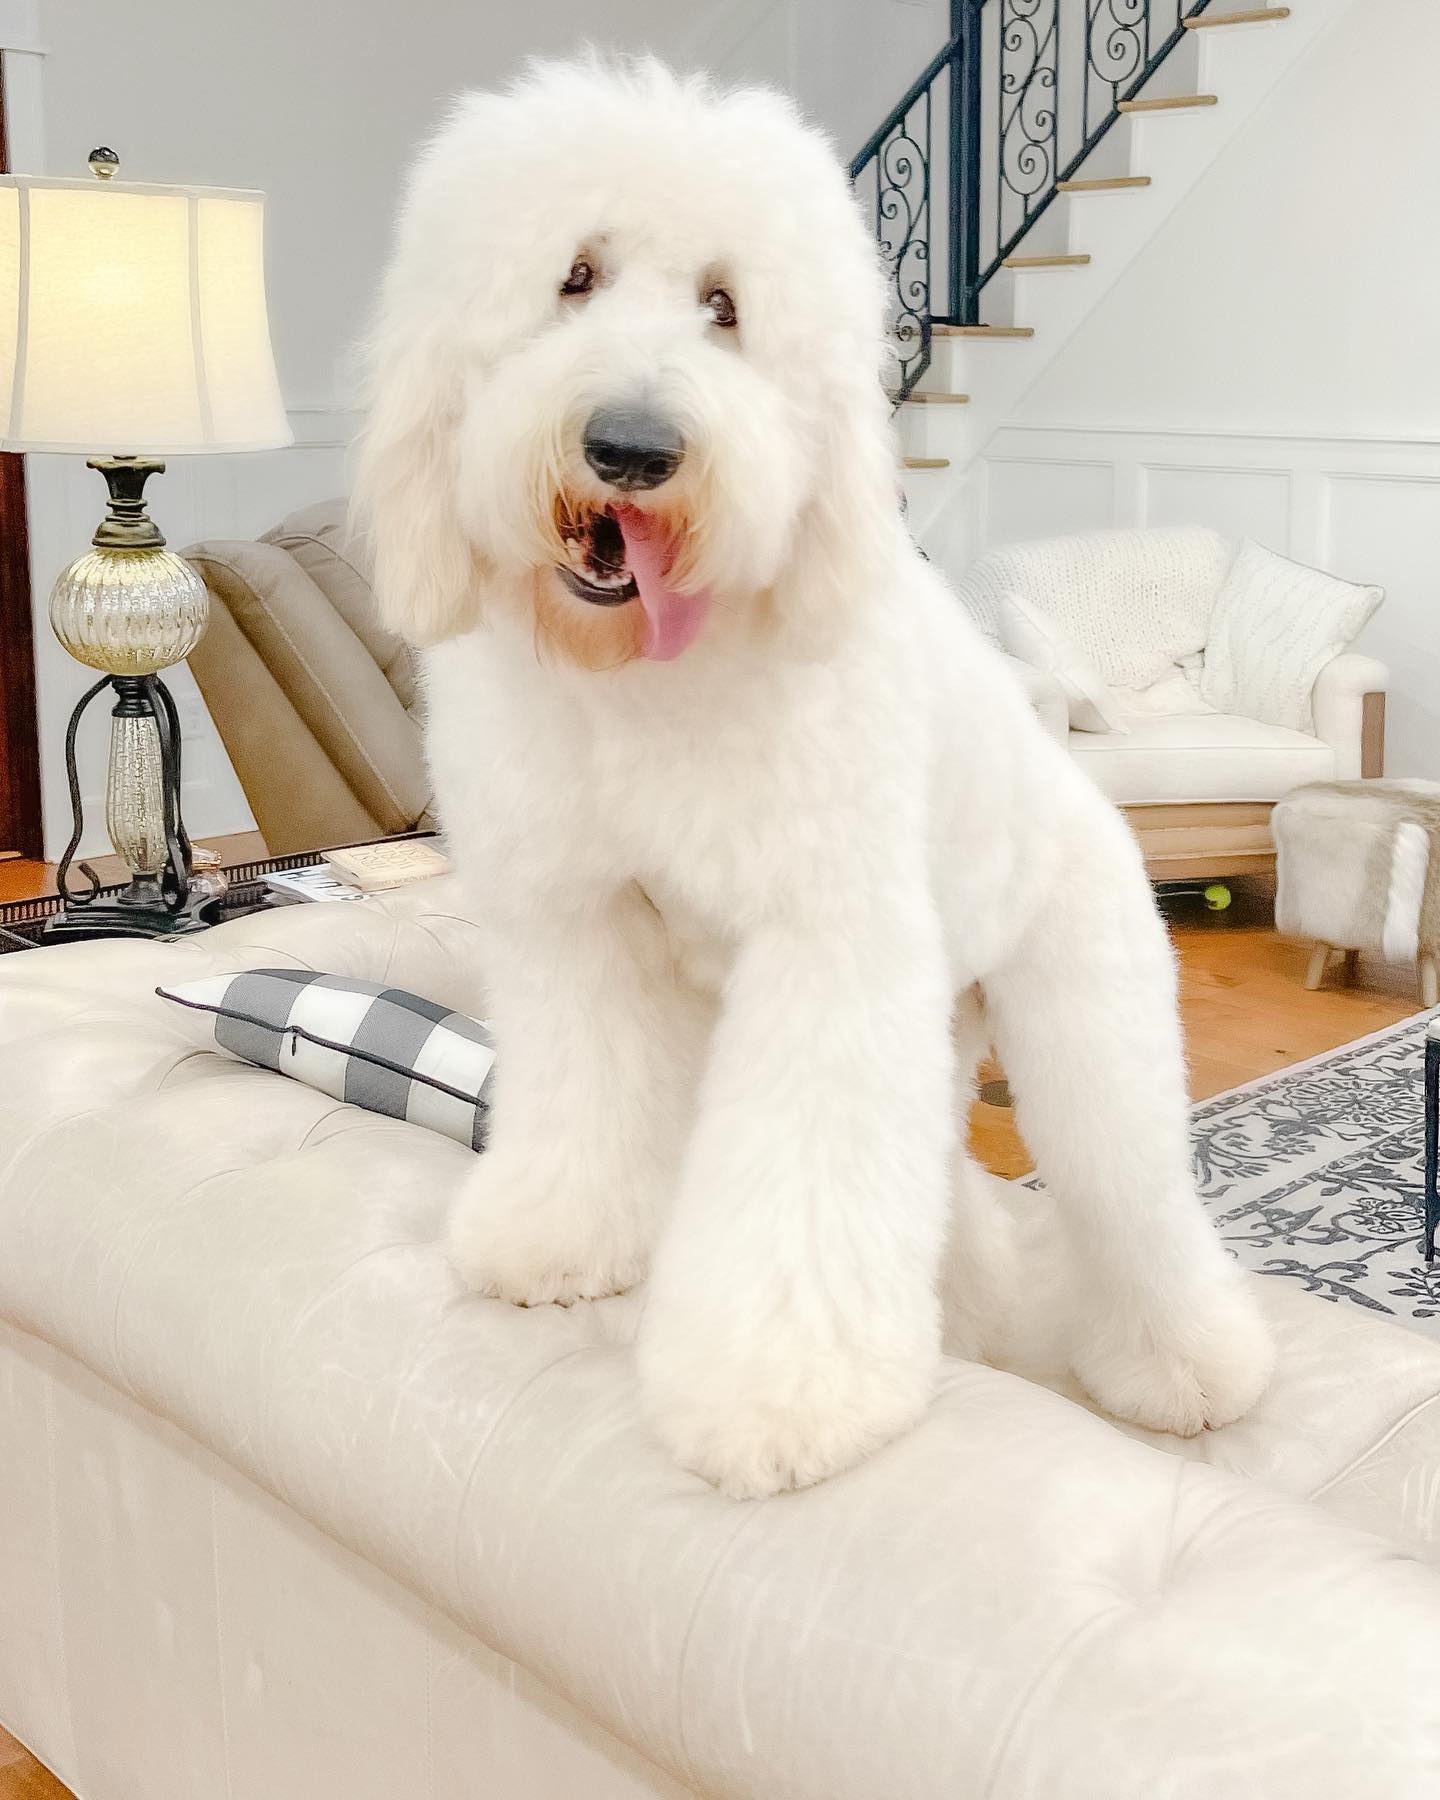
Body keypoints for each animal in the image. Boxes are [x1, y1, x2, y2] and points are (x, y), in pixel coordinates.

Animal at [356, 56, 1274, 1497]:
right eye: (573, 277)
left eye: (727, 306)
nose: (631, 446)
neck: (646, 682)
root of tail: (1095, 805)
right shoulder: (576, 923)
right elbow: (590, 1095)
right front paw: (560, 1240)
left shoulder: (826, 955)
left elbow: (798, 1191)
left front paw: (780, 1393)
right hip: (945, 1031)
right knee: (948, 1196)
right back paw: (971, 1316)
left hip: (1084, 1027)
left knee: (1134, 1205)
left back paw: (1187, 1370)